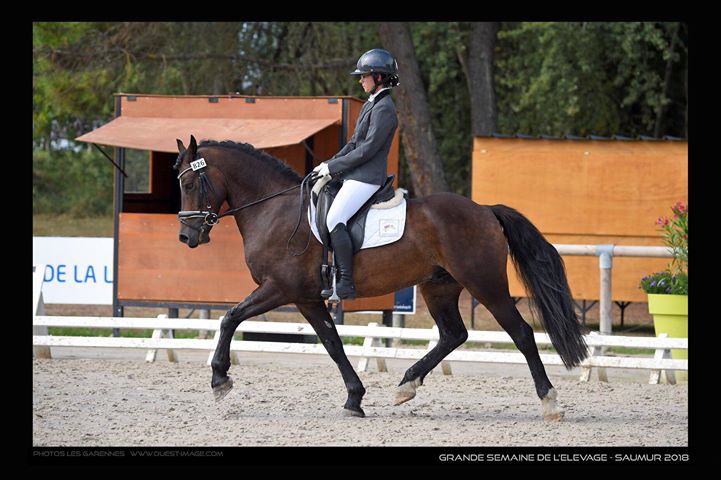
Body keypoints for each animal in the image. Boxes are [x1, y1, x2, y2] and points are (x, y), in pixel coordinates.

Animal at [174, 134, 584, 420]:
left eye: (189, 185)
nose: (187, 237)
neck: (274, 210)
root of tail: (485, 210)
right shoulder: (306, 298)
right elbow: (333, 344)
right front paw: (354, 398)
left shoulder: (279, 289)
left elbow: (230, 317)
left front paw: (220, 380)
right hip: (439, 286)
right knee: (454, 334)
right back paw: (407, 386)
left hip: (486, 284)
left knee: (522, 334)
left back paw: (550, 403)